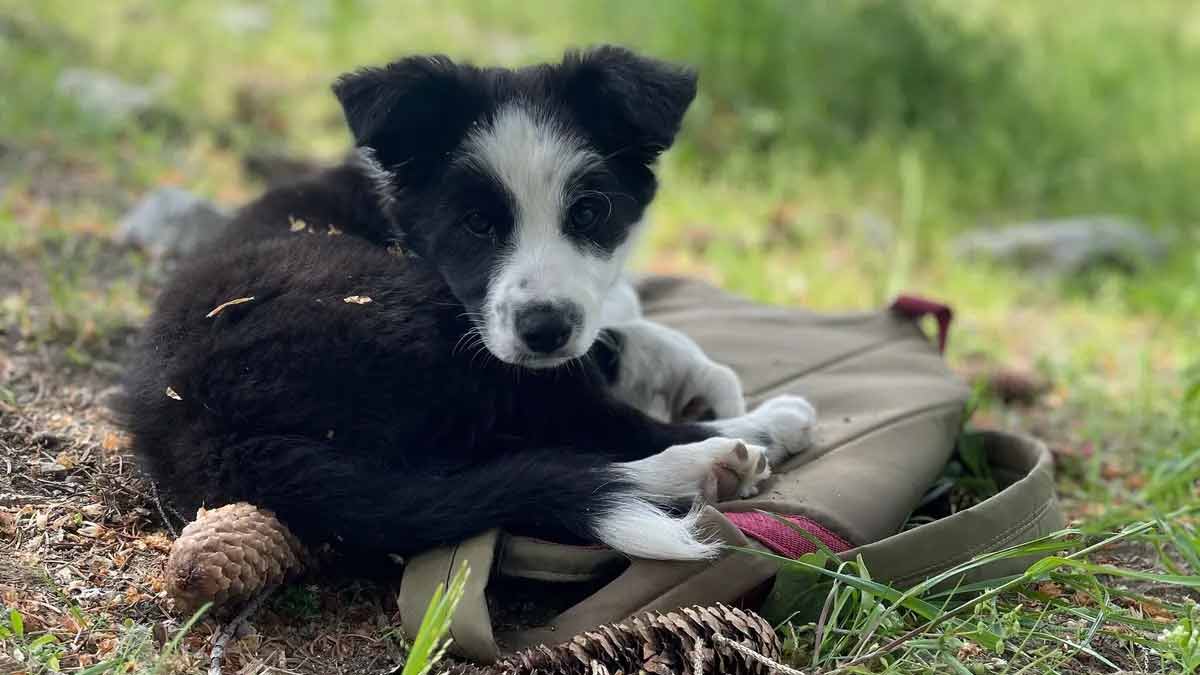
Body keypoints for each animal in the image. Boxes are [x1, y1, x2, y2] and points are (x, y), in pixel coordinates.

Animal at [119, 45, 816, 557]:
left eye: (589, 212)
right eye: (476, 224)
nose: (543, 330)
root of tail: (213, 437)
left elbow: (635, 332)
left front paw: (703, 380)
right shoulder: (505, 337)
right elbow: (633, 356)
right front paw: (730, 405)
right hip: (428, 324)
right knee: (586, 440)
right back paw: (736, 447)